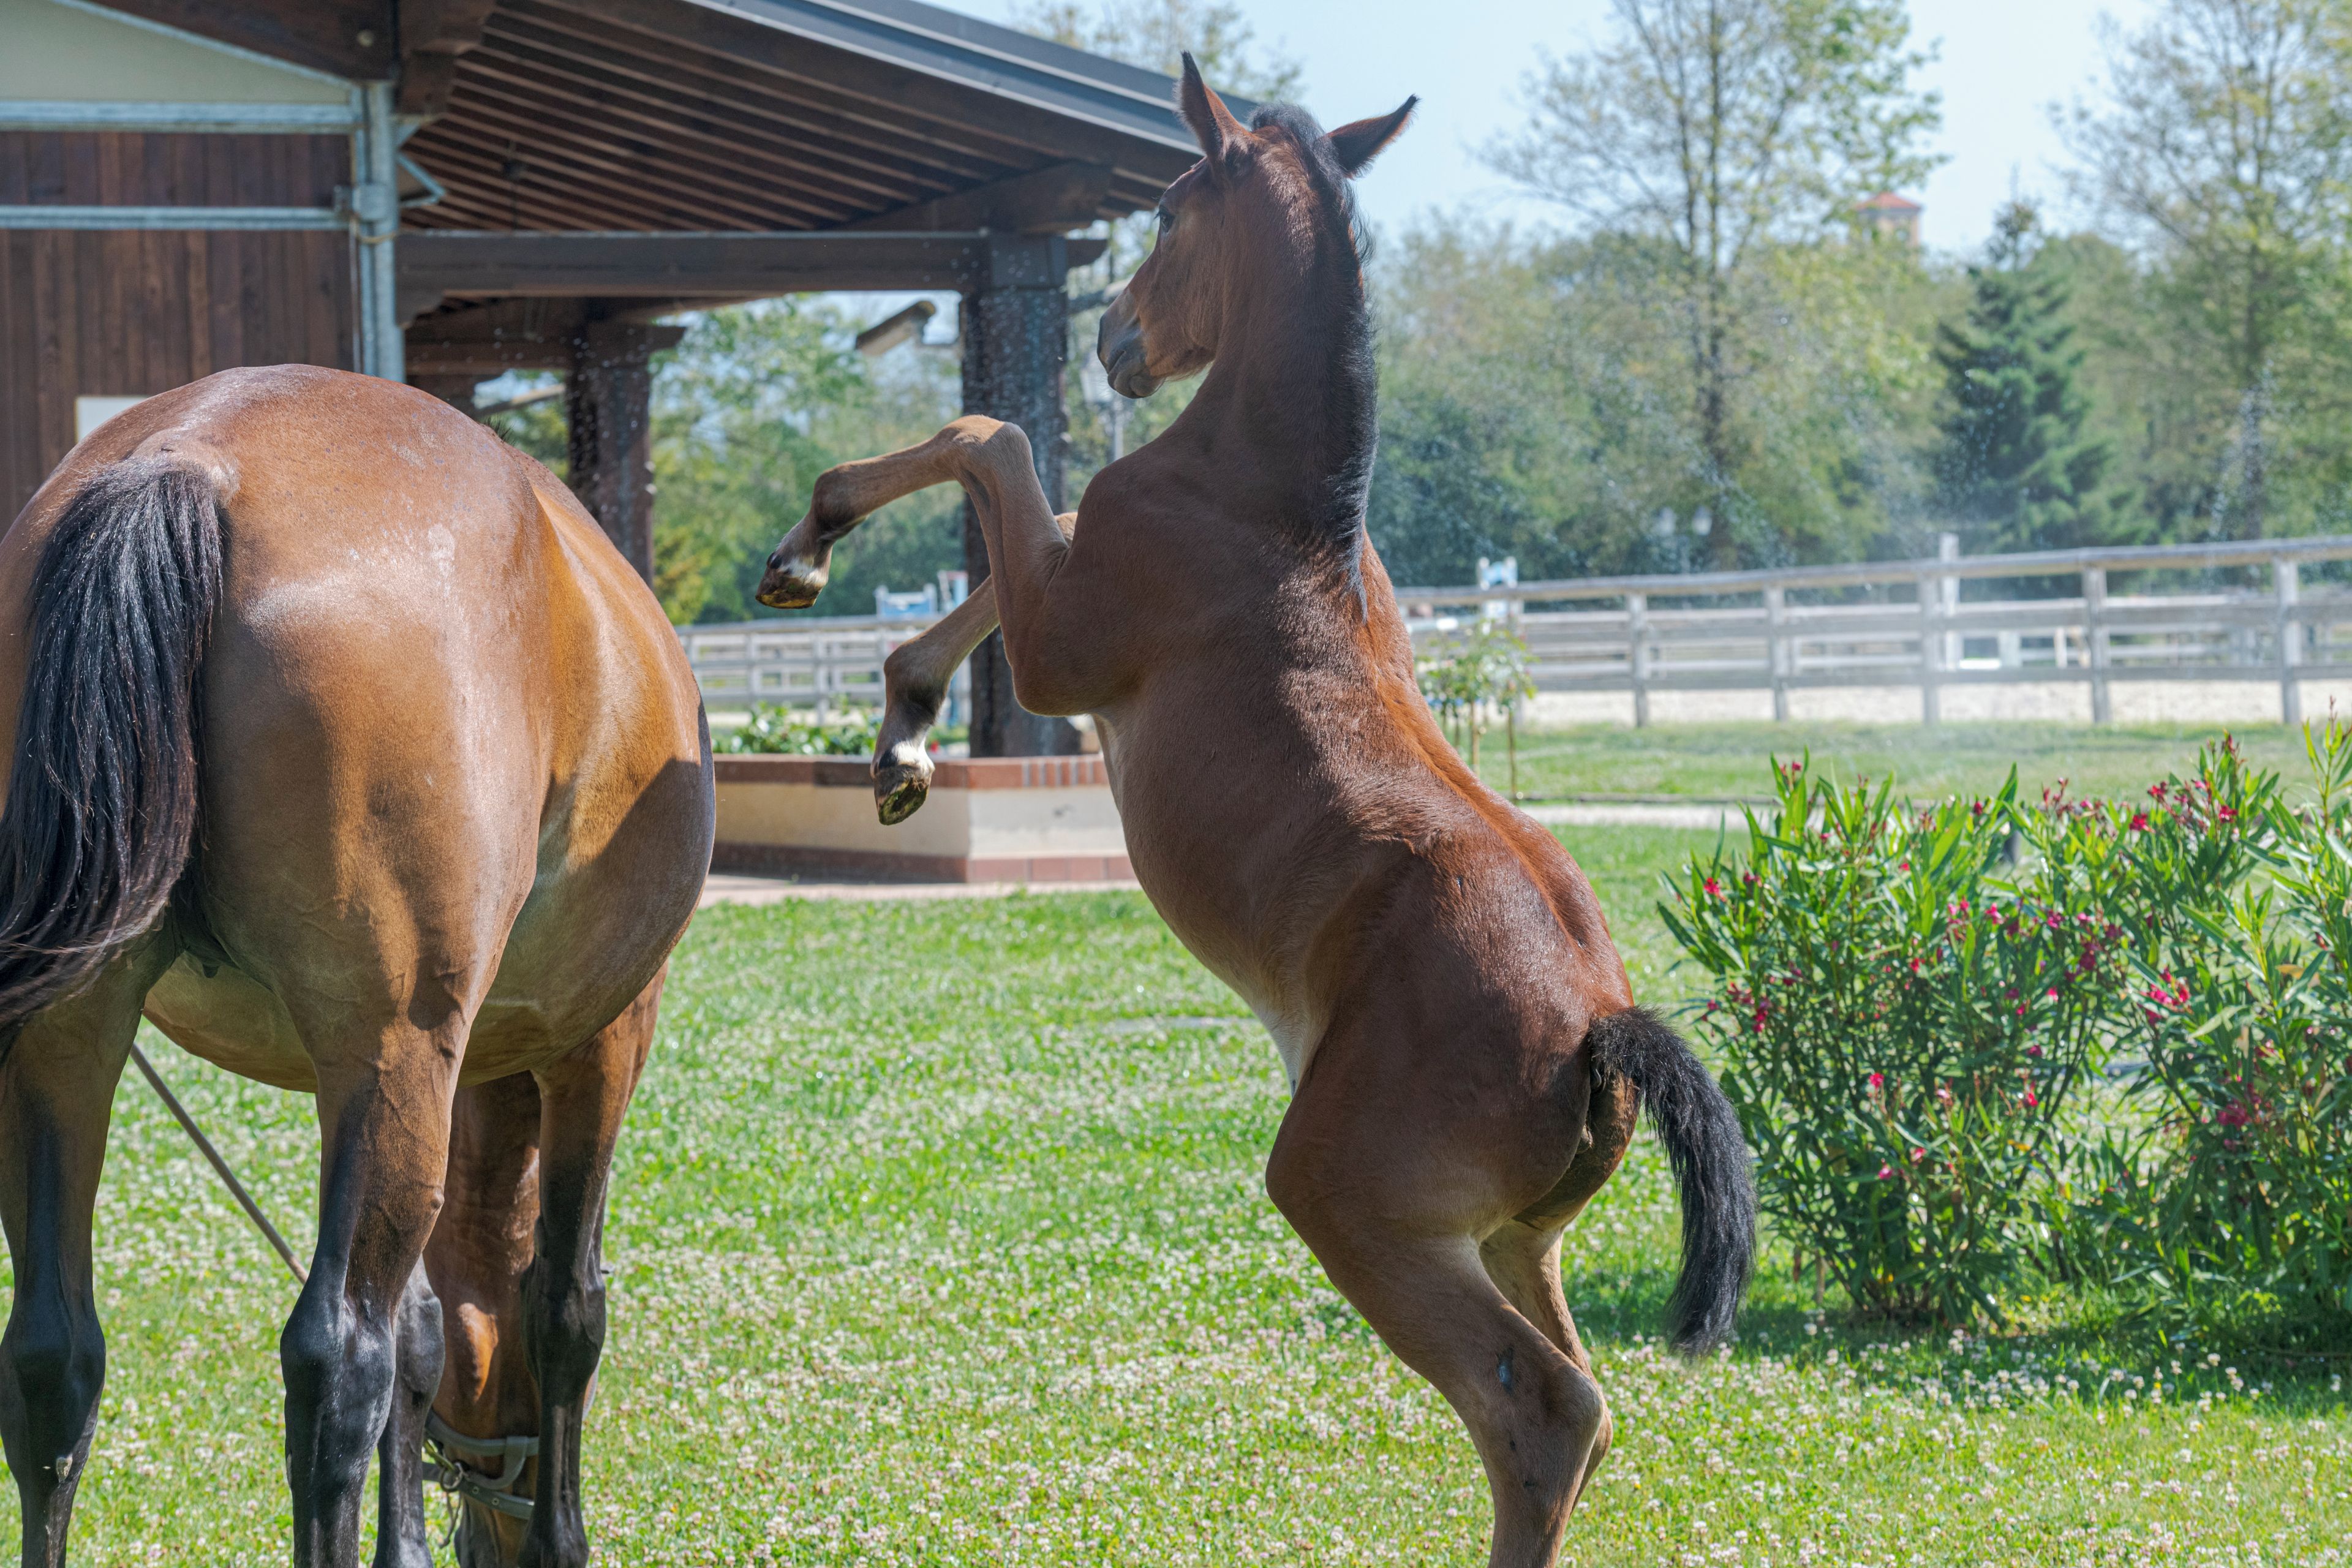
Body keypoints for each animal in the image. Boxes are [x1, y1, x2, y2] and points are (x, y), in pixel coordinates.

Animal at [0, 365, 714, 1568]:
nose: (492, 1527)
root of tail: (189, 459)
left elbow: (426, 1331)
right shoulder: (600, 1042)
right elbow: (563, 1307)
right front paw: (558, 1536)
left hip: (68, 1039)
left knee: (55, 1353)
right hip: (392, 1049)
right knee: (338, 1359)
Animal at [755, 60, 1757, 1568]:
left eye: (1169, 209)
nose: (1112, 339)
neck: (1274, 504)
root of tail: (1602, 1029)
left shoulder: (1067, 646)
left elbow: (999, 446)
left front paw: (813, 549)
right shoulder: (1074, 599)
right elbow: (1018, 525)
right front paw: (902, 740)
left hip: (1348, 1201)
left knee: (1543, 1409)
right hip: (1512, 1238)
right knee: (1579, 1401)